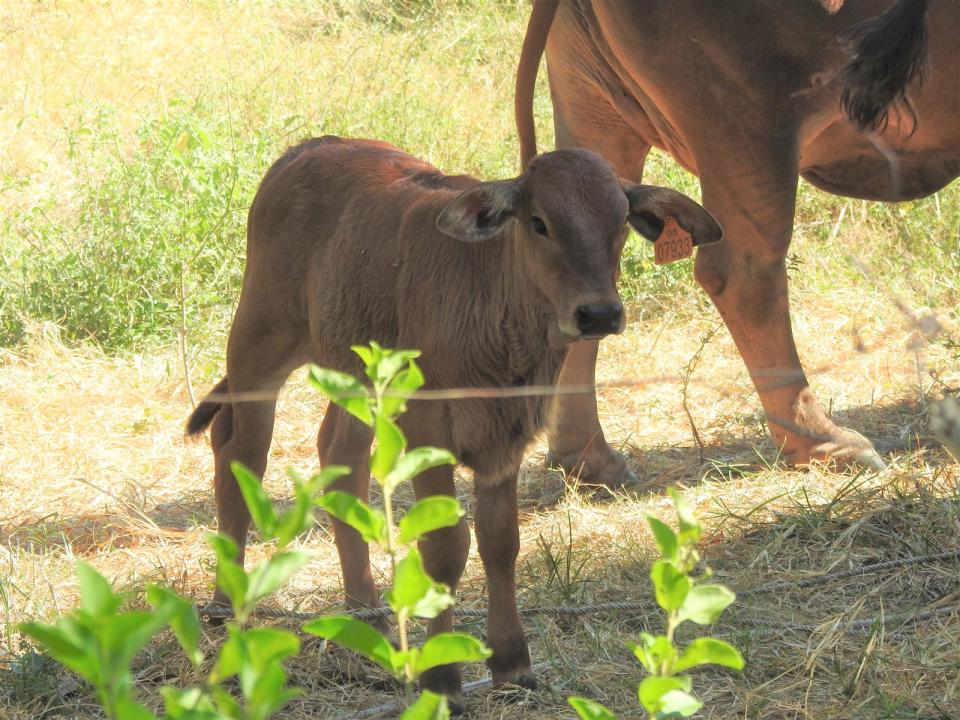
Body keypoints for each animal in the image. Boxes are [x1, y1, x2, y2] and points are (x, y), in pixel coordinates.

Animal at [186, 136, 720, 704]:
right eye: (539, 222)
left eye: (620, 222)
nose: (598, 313)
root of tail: (309, 147)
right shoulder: (429, 429)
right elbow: (445, 546)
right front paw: (442, 677)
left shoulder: (507, 437)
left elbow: (501, 540)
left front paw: (512, 661)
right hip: (258, 340)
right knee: (240, 454)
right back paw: (228, 606)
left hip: (355, 372)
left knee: (338, 455)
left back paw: (367, 614)